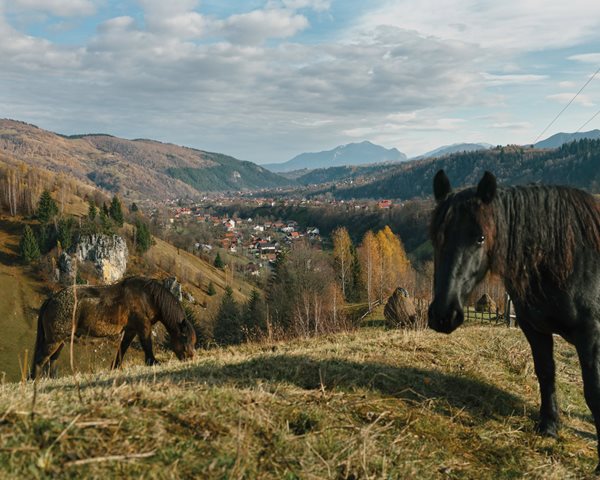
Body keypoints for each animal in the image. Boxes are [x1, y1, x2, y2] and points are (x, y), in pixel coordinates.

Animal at [30, 278, 196, 378]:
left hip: (62, 340)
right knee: (40, 360)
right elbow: (147, 345)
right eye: (184, 338)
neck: (146, 296)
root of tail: (51, 299)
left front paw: (114, 368)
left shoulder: (130, 330)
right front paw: (153, 362)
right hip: (54, 340)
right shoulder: (143, 327)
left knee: (52, 360)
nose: (190, 358)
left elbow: (122, 349)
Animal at [428, 171, 600, 470]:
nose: (443, 315)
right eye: (437, 238)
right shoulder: (535, 329)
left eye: (480, 238)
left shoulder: (590, 335)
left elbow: (592, 391)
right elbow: (546, 373)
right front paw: (549, 426)